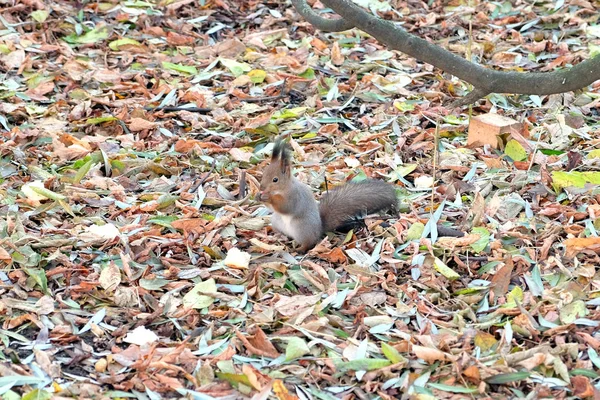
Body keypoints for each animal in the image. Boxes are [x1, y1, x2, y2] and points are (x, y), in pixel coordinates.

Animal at [254, 138, 398, 253]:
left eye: (275, 180)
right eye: (264, 173)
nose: (262, 188)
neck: (283, 189)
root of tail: (319, 228)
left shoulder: (294, 197)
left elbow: (285, 206)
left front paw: (267, 197)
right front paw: (258, 196)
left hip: (301, 228)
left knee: (309, 242)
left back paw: (300, 248)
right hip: (276, 221)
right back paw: (278, 236)